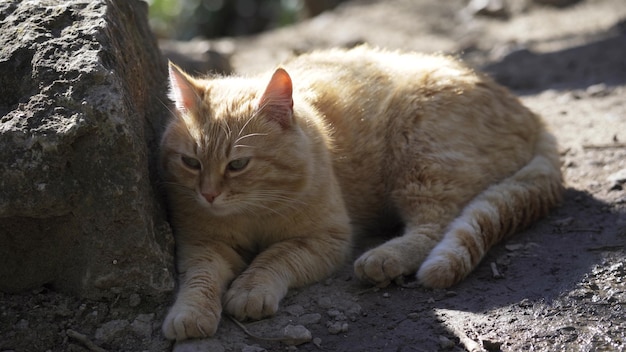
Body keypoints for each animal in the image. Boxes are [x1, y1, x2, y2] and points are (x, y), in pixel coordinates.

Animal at [160, 45, 560, 340]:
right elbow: (201, 277)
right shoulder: (201, 243)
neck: (253, 210)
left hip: (422, 162)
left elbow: (274, 257)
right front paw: (191, 313)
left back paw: (384, 257)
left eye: (238, 165)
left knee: (435, 226)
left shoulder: (326, 240)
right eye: (191, 162)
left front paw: (250, 288)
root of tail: (528, 112)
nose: (208, 195)